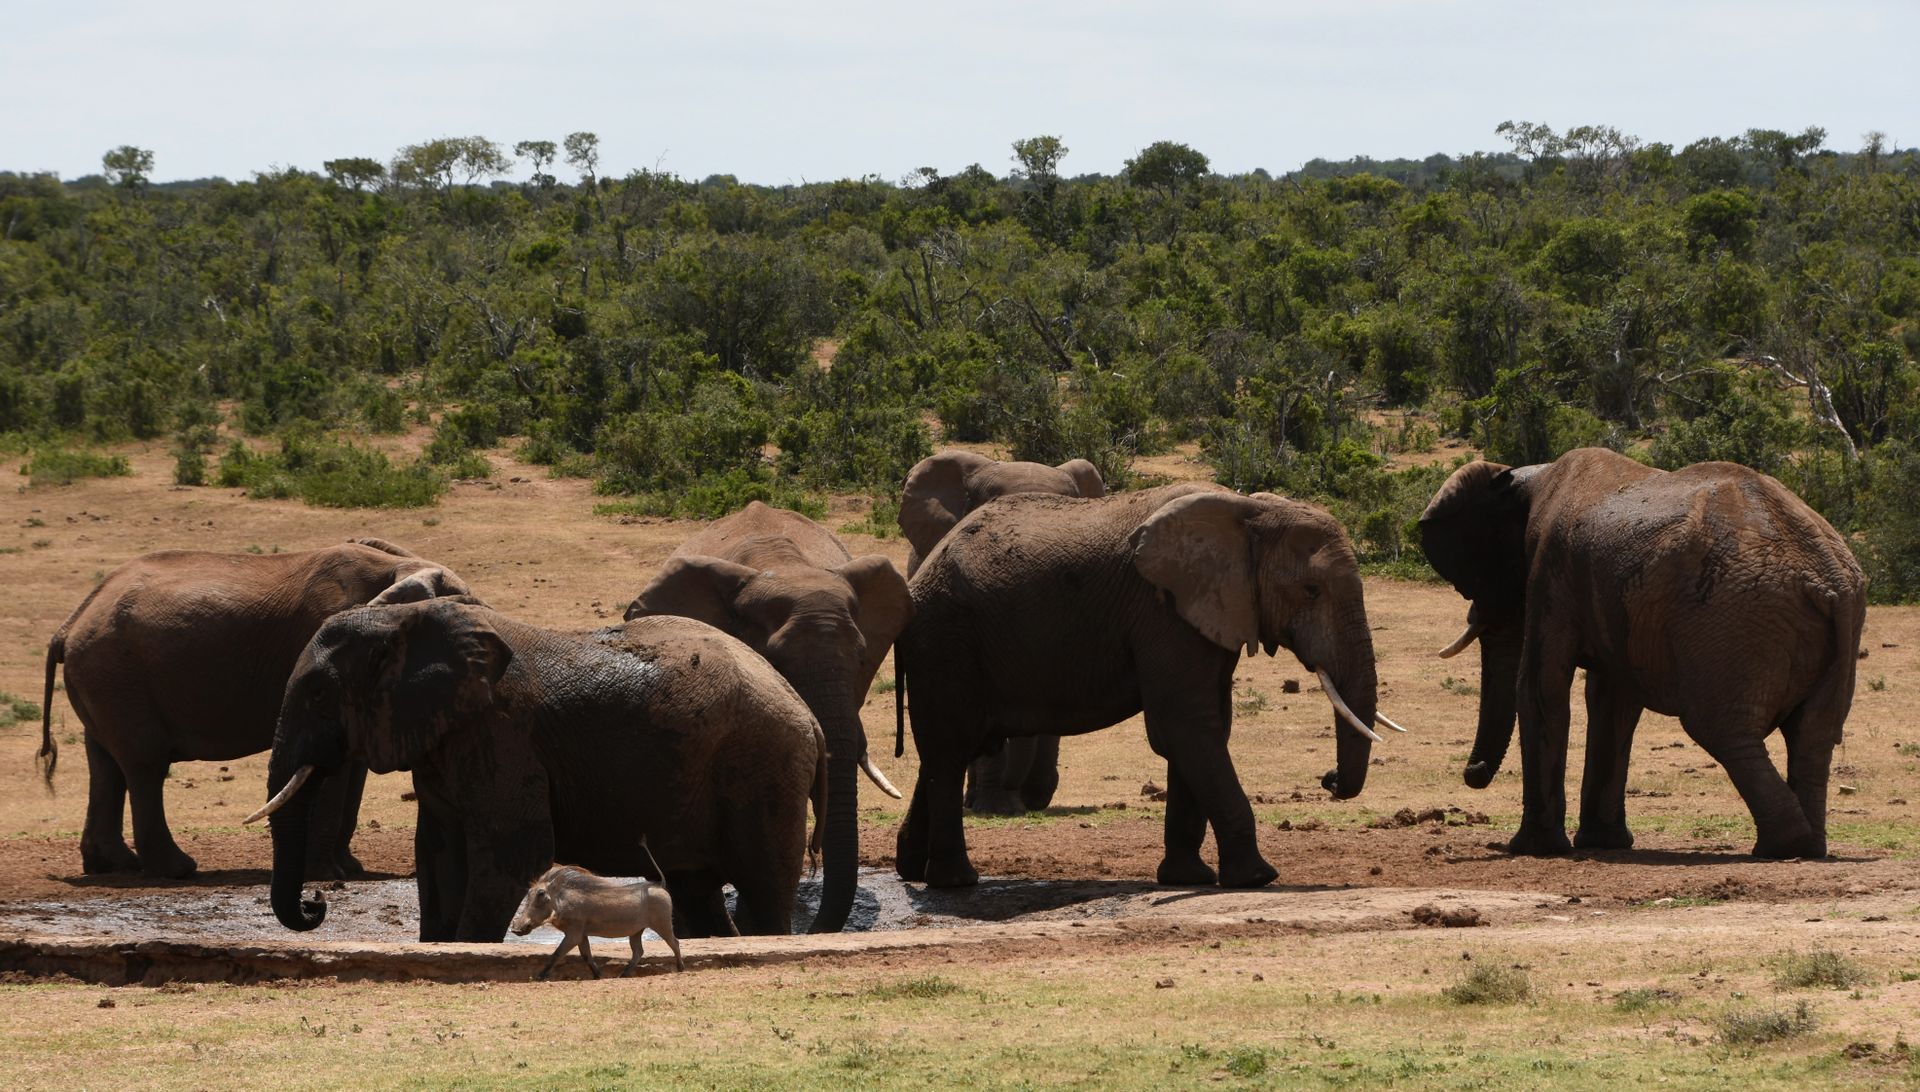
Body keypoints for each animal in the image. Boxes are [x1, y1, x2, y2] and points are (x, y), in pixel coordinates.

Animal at [39, 538, 470, 879]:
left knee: (105, 764)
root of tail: (69, 624)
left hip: (103, 680)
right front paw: (328, 875)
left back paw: (112, 865)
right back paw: (177, 870)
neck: (399, 568)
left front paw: (350, 869)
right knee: (145, 765)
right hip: (115, 674)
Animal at [254, 600, 826, 942]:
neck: (403, 619)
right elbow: (438, 852)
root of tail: (810, 717)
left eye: (318, 693)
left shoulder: (503, 732)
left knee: (764, 888)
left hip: (764, 768)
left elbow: (515, 850)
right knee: (694, 892)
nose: (316, 901)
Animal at [1418, 448, 1865, 859]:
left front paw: (1533, 849)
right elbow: (1612, 703)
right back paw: (1806, 847)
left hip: (1736, 620)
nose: (1473, 772)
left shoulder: (1550, 570)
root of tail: (1828, 576)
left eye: (1474, 577)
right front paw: (1604, 844)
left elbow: (1540, 687)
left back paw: (1783, 846)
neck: (1525, 476)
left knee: (1721, 729)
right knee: (1813, 734)